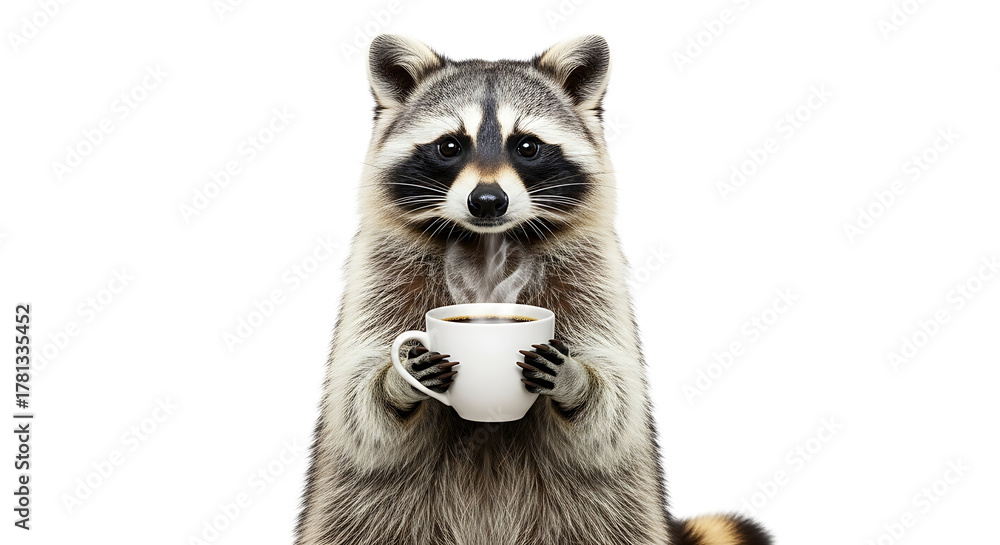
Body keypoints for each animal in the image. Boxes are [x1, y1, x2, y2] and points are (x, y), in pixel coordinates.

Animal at [295, 35, 772, 545]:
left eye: (527, 145)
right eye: (449, 146)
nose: (487, 201)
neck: (486, 242)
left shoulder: (592, 269)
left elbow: (614, 396)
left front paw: (577, 379)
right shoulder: (383, 267)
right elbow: (357, 394)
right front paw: (398, 379)